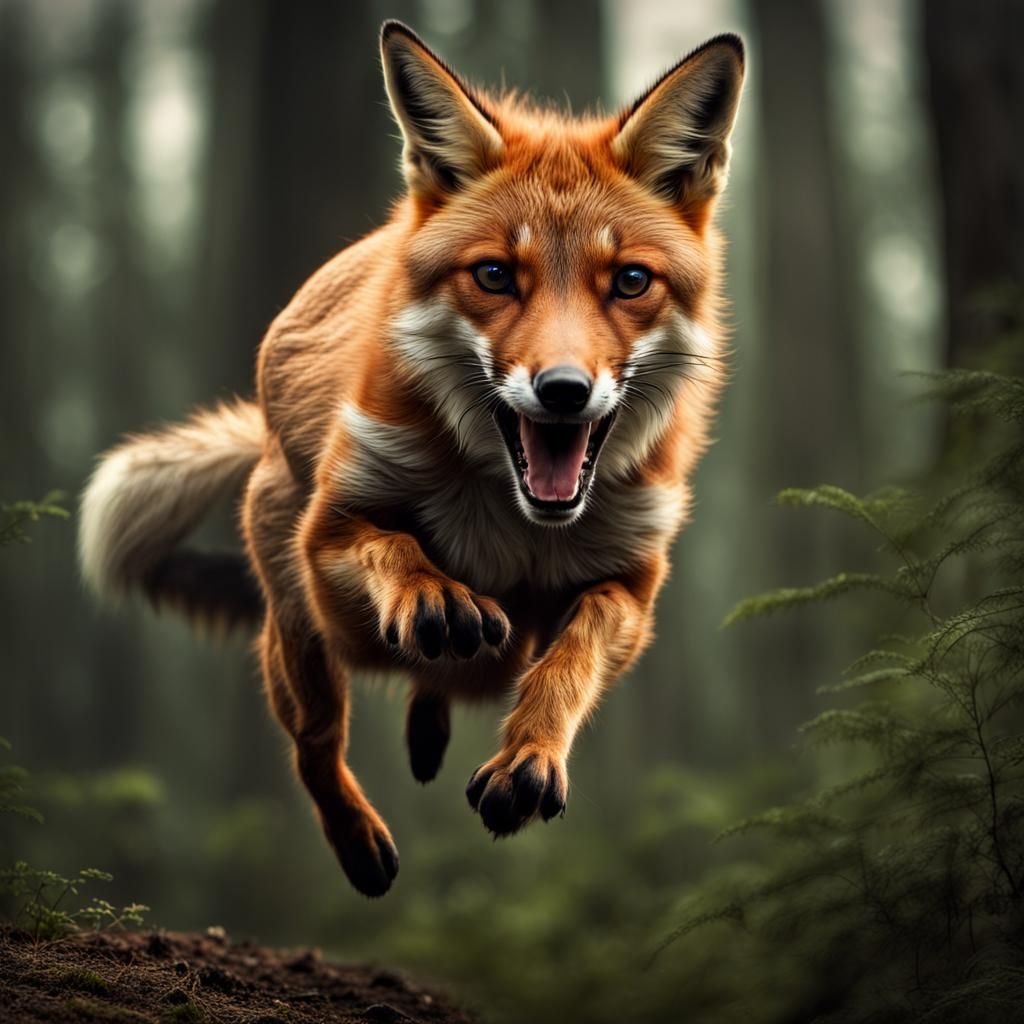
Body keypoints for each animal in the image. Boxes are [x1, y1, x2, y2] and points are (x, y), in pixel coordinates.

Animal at [78, 21, 744, 898]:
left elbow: (574, 653)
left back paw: (433, 725)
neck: (512, 528)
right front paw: (434, 597)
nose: (564, 391)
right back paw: (362, 838)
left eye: (630, 281)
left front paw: (528, 757)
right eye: (494, 275)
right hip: (301, 623)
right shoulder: (328, 537)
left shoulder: (632, 584)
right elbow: (393, 544)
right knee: (315, 743)